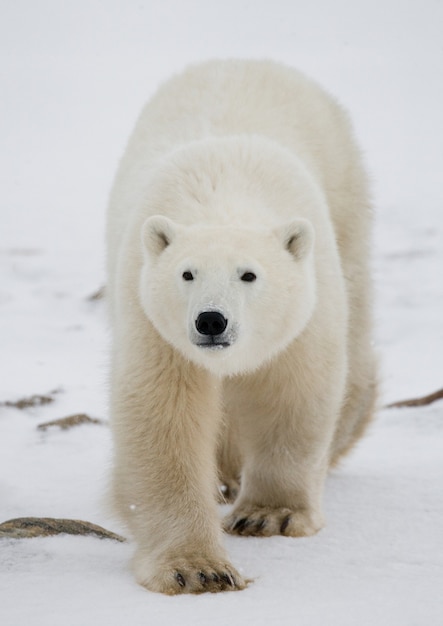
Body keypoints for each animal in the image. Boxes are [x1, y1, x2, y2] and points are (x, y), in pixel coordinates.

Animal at [106, 59, 378, 596]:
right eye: (186, 273)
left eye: (249, 274)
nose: (211, 320)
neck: (222, 190)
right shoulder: (151, 320)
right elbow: (162, 418)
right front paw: (197, 568)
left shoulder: (305, 308)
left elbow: (293, 392)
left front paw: (270, 515)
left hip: (347, 198)